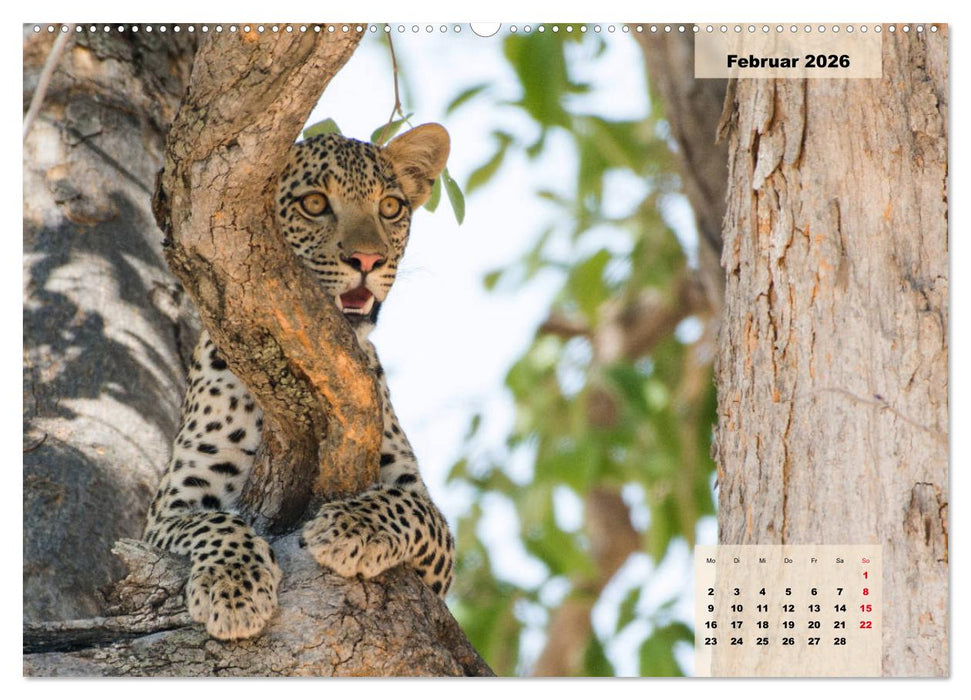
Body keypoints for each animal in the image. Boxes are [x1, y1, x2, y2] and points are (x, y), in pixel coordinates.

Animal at [143, 124, 455, 641]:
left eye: (390, 207)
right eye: (314, 203)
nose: (367, 259)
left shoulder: (436, 559)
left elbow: (417, 510)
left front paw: (353, 528)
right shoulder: (167, 510)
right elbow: (213, 522)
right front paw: (233, 588)